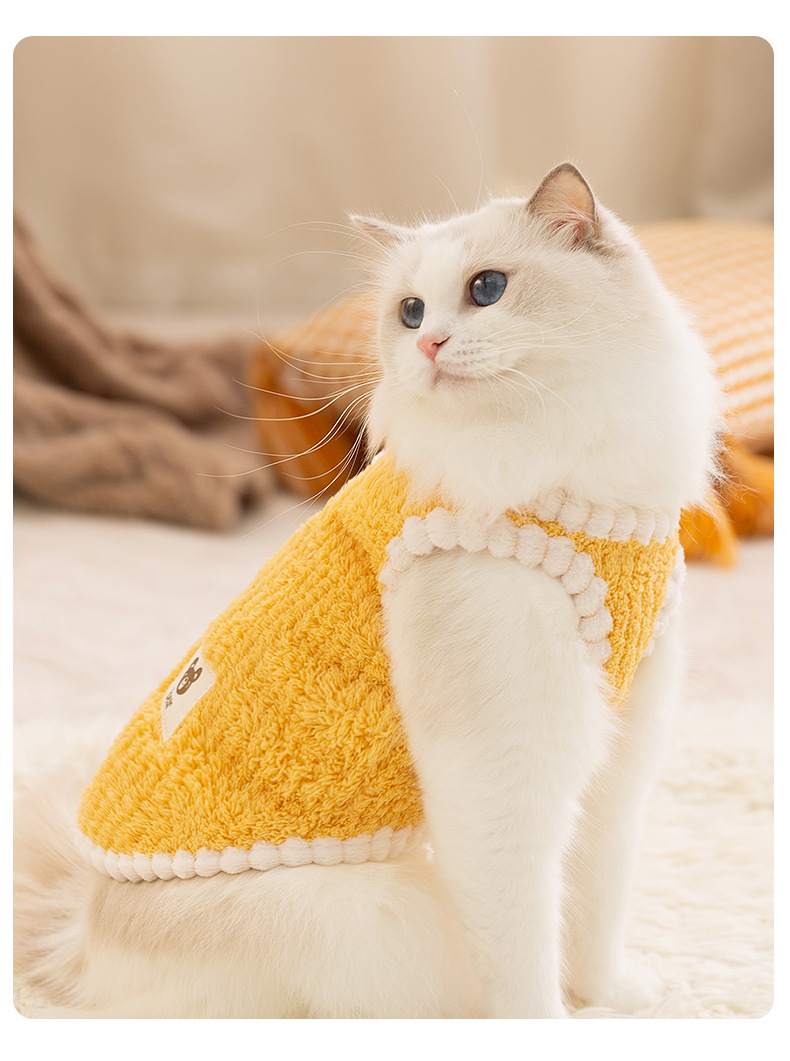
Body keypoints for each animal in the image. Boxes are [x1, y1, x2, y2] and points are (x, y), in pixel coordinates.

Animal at [14, 163, 719, 1018]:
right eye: (410, 310)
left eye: (487, 289)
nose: (428, 343)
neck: (573, 489)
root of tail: (75, 922)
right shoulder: (503, 766)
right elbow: (526, 943)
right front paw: (554, 1020)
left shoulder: (622, 738)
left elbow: (598, 899)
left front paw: (612, 998)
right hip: (391, 917)